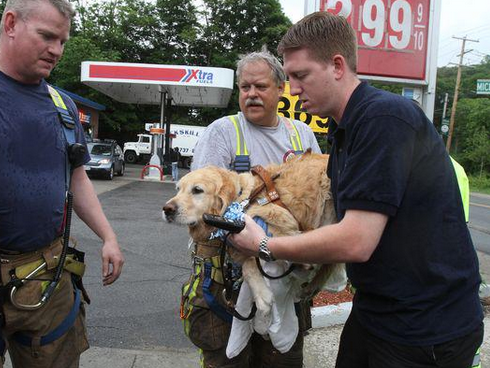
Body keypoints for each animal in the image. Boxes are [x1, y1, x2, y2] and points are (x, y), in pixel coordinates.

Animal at [163, 152, 342, 334]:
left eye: (197, 190)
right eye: (178, 189)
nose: (167, 209)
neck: (243, 199)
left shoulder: (281, 223)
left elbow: (263, 251)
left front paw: (263, 294)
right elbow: (247, 263)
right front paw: (261, 292)